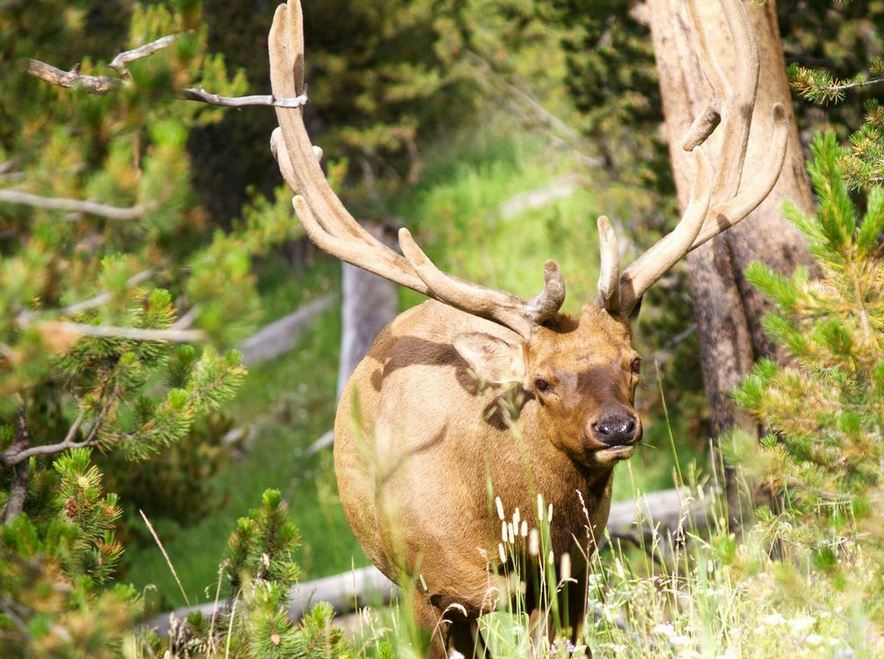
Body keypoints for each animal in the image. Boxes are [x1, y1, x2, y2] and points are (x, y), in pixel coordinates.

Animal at [266, 0, 787, 656]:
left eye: (634, 361)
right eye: (540, 382)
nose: (616, 427)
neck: (497, 522)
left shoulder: (570, 572)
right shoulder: (419, 589)